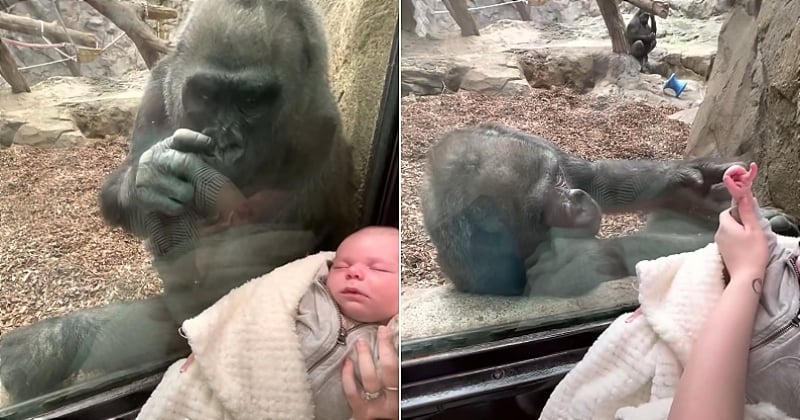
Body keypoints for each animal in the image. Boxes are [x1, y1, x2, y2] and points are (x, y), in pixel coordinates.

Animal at [0, 0, 356, 406]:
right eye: (206, 95)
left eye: (251, 101)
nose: (223, 143)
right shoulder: (160, 85)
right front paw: (152, 177)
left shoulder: (319, 130)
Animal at [422, 123, 796, 296]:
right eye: (541, 214)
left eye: (557, 178)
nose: (574, 200)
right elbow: (619, 256)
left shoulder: (541, 147)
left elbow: (599, 180)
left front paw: (694, 179)